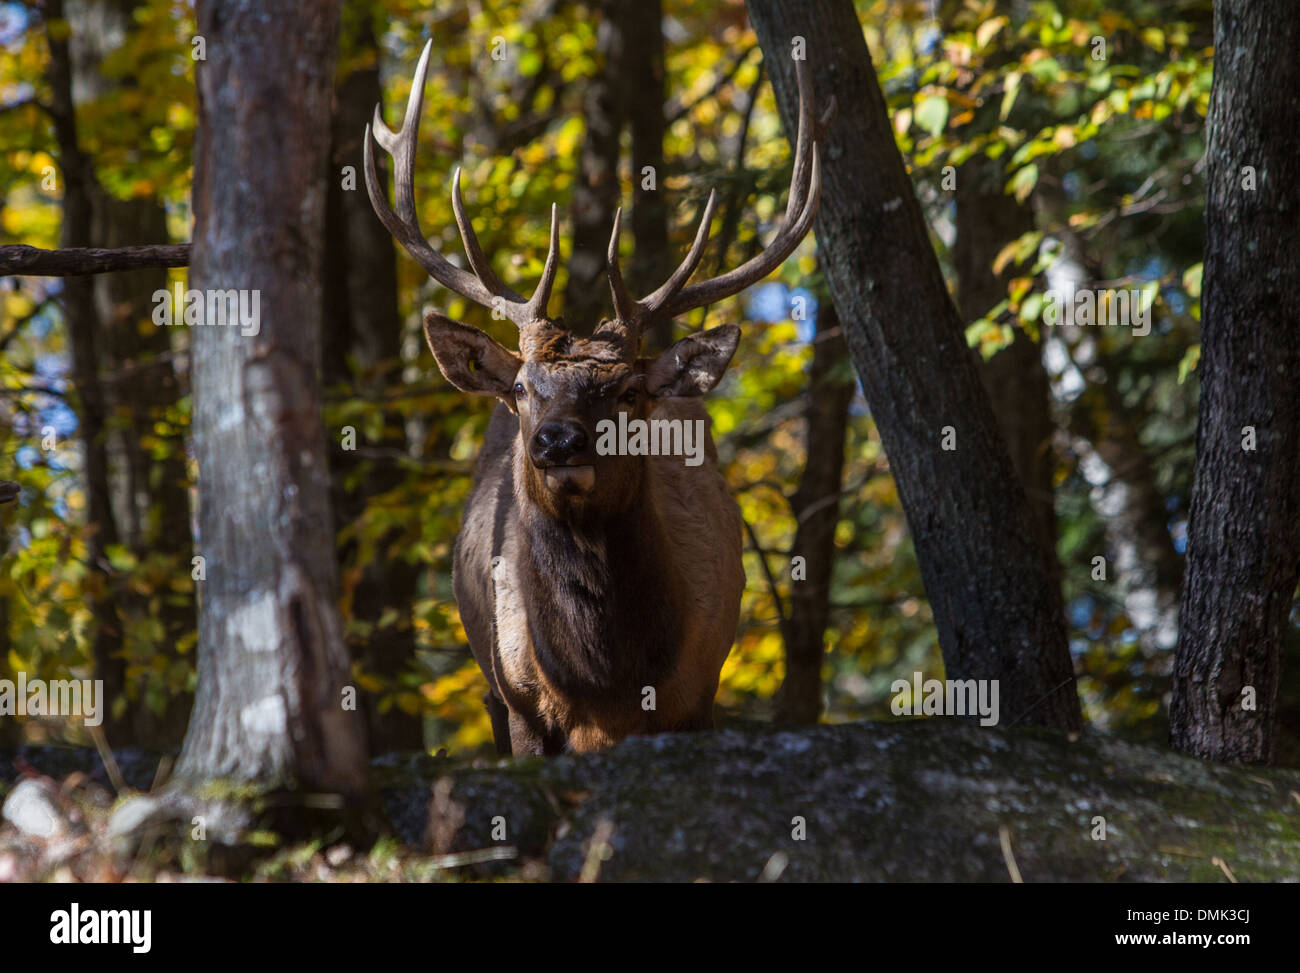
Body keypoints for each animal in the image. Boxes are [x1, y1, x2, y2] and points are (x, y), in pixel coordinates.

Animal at [366, 39, 832, 754]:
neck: (606, 683)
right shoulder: (519, 703)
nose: (558, 440)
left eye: (629, 390)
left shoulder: (699, 692)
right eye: (521, 388)